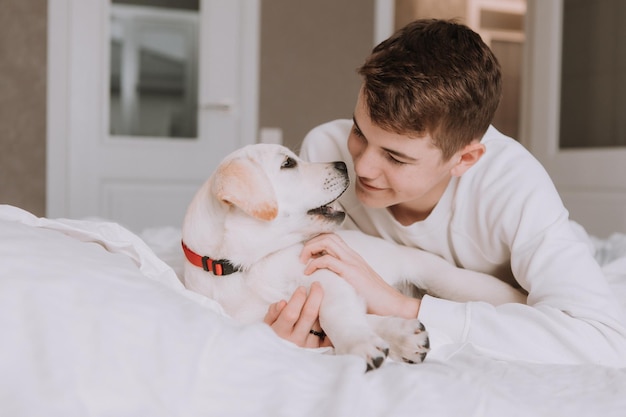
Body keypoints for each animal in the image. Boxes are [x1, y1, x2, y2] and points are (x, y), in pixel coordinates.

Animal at [183, 142, 524, 368]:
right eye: (288, 164)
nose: (344, 165)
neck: (251, 265)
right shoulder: (260, 320)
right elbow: (364, 319)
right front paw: (401, 337)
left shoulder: (327, 276)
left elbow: (337, 316)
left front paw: (360, 342)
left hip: (454, 281)